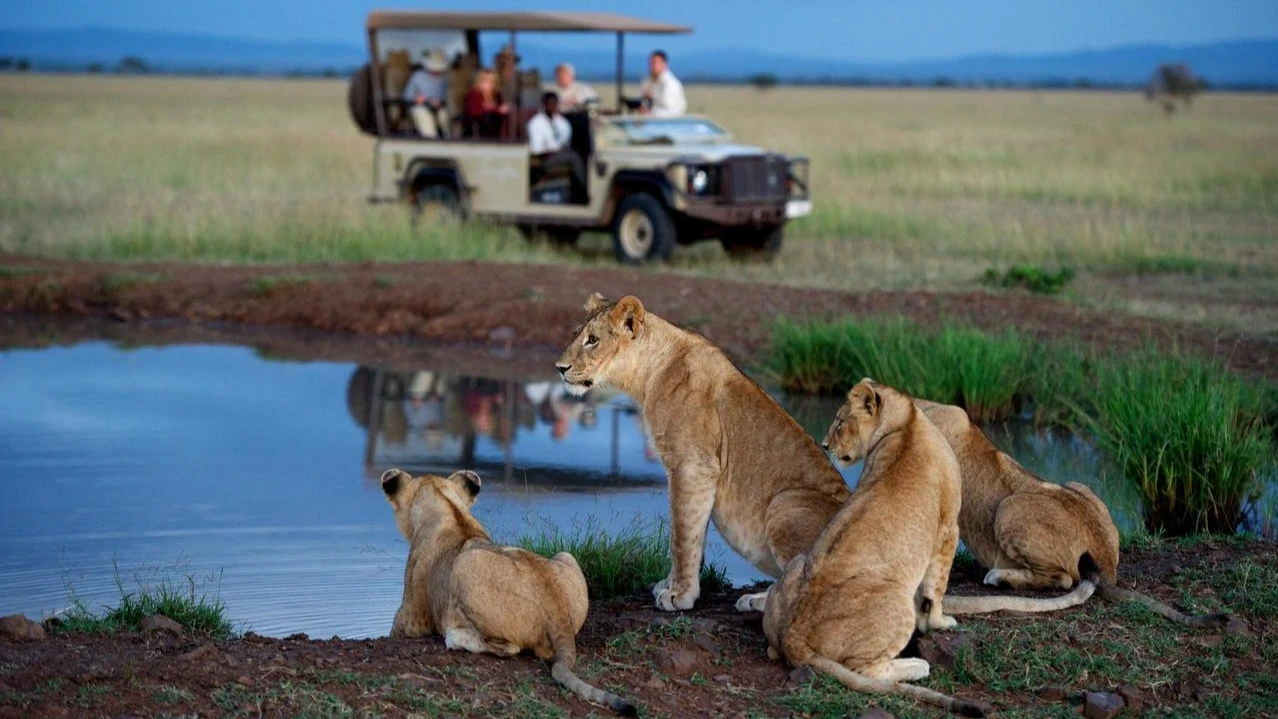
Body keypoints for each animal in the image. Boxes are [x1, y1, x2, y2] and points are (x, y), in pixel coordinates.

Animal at [378, 469, 639, 715]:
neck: (449, 508)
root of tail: (558, 612)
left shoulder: (413, 620)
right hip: (566, 555)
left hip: (465, 565)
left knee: (509, 648)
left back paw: (455, 637)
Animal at [756, 380, 986, 715]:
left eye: (840, 421)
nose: (825, 445)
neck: (905, 421)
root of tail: (793, 635)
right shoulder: (948, 527)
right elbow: (937, 588)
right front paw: (940, 622)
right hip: (896, 601)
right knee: (866, 670)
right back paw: (917, 666)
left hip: (798, 563)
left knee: (774, 651)